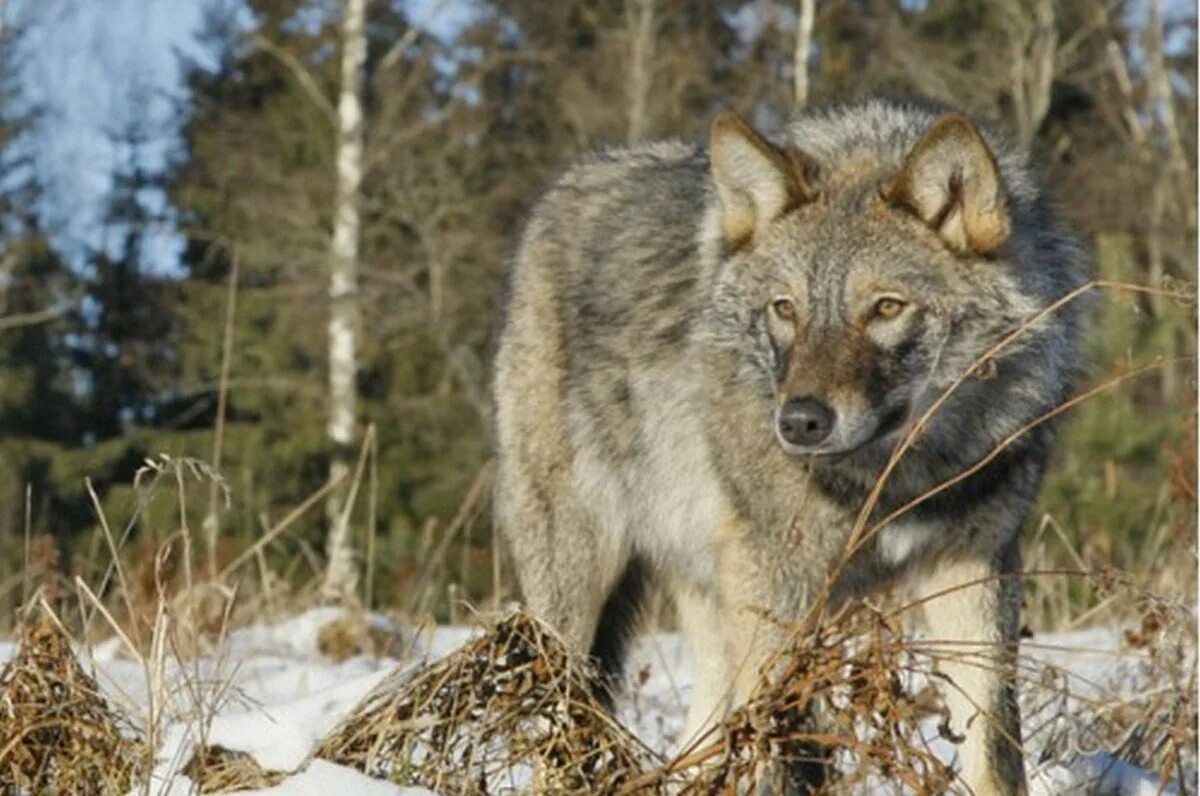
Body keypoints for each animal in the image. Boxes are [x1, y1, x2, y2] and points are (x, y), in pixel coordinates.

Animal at [492, 96, 1094, 792]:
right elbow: (776, 747)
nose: (800, 421)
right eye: (785, 308)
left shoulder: (975, 571)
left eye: (885, 308)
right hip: (577, 589)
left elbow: (994, 755)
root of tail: (568, 183)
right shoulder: (782, 591)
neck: (893, 478)